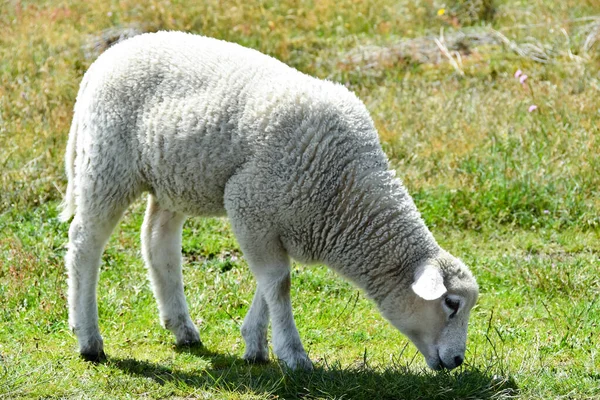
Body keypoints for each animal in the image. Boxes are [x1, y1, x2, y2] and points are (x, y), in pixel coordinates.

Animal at [61, 29, 478, 370]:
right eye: (451, 304)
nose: (458, 360)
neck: (345, 193)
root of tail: (106, 58)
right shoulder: (249, 203)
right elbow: (279, 283)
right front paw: (293, 354)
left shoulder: (278, 221)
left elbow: (270, 281)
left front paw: (255, 343)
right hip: (107, 163)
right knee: (85, 244)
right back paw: (89, 337)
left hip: (174, 178)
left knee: (156, 240)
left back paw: (181, 327)